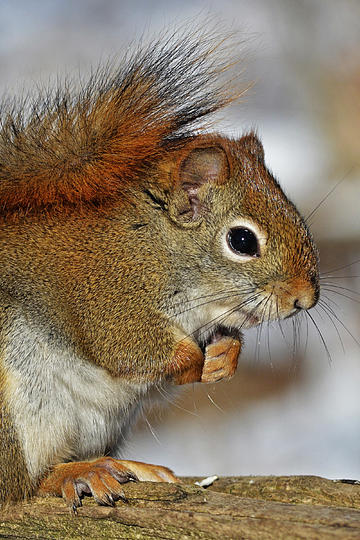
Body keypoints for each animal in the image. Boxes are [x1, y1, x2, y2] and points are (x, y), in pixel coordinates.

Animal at [0, 29, 320, 510]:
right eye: (243, 241)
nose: (306, 297)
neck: (157, 246)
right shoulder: (106, 293)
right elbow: (127, 346)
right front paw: (195, 360)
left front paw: (224, 356)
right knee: (20, 487)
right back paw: (80, 473)